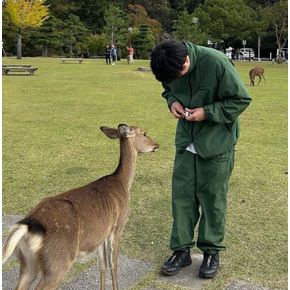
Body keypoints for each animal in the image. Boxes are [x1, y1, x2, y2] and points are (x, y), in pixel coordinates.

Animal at [2, 124, 159, 290]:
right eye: (144, 133)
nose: (157, 145)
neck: (123, 183)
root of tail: (27, 226)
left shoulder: (102, 233)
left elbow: (102, 265)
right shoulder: (117, 226)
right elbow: (113, 264)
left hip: (27, 263)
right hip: (57, 262)